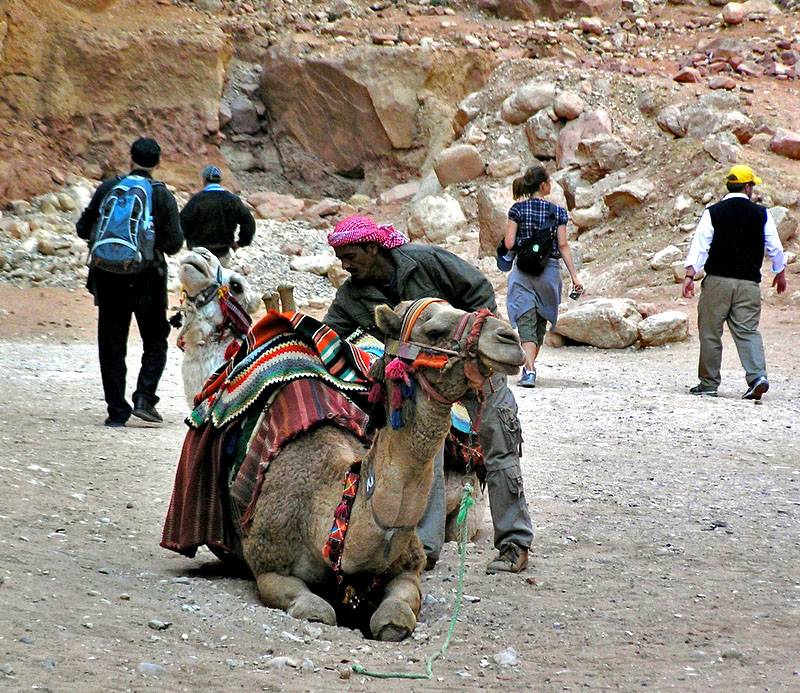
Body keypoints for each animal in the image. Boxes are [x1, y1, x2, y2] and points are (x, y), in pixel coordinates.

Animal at [239, 298, 524, 636]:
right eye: (434, 331)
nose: (509, 338)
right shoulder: (268, 566)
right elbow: (318, 611)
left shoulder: (408, 569)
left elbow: (395, 616)